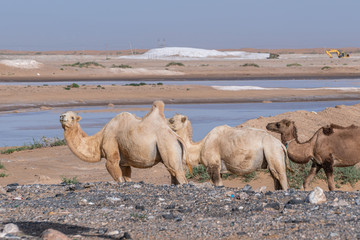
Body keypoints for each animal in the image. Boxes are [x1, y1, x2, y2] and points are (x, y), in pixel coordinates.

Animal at [60, 100, 191, 185]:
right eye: (64, 114)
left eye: (72, 117)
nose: (62, 116)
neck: (100, 138)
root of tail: (176, 137)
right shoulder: (124, 162)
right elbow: (127, 176)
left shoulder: (111, 151)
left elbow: (116, 174)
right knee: (174, 176)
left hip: (168, 146)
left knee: (179, 174)